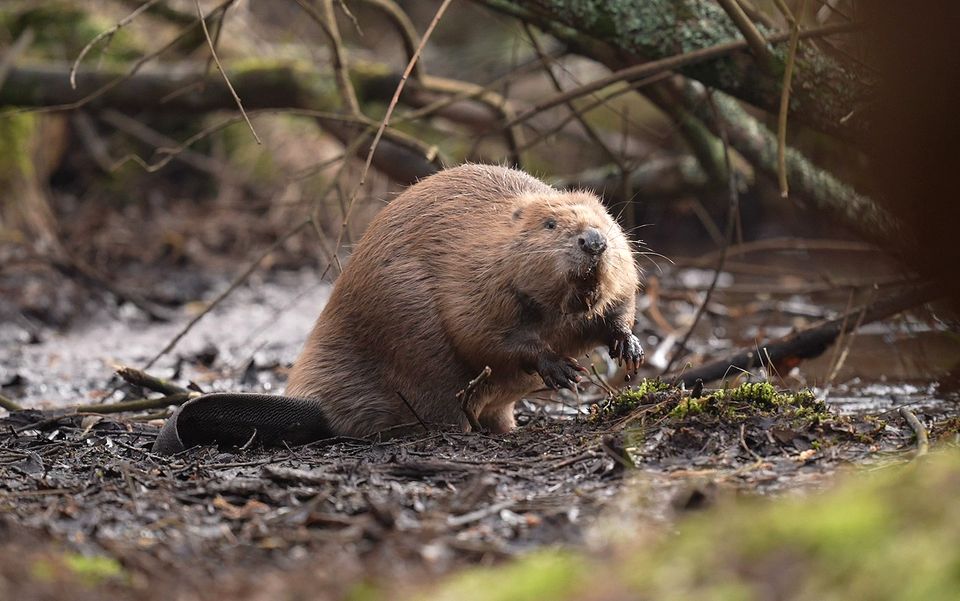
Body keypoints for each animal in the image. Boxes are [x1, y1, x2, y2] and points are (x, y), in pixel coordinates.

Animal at [154, 162, 640, 452]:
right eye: (550, 223)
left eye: (603, 220)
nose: (594, 242)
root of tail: (320, 408)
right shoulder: (473, 277)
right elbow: (485, 334)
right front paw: (562, 370)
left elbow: (619, 305)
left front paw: (628, 347)